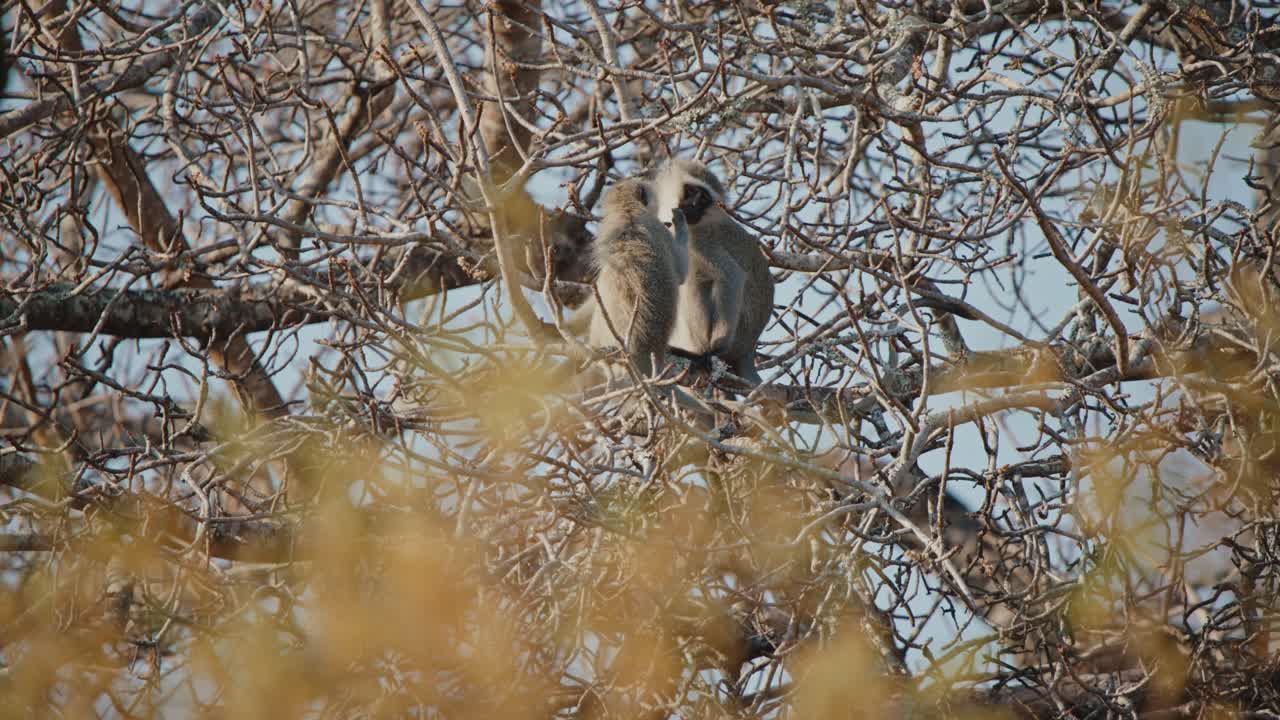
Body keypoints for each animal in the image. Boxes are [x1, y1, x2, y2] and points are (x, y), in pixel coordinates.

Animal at [648, 159, 775, 384]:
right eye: (691, 191)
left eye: (704, 199)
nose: (693, 205)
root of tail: (748, 348)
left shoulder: (701, 241)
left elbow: (732, 276)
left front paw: (714, 350)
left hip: (739, 332)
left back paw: (699, 353)